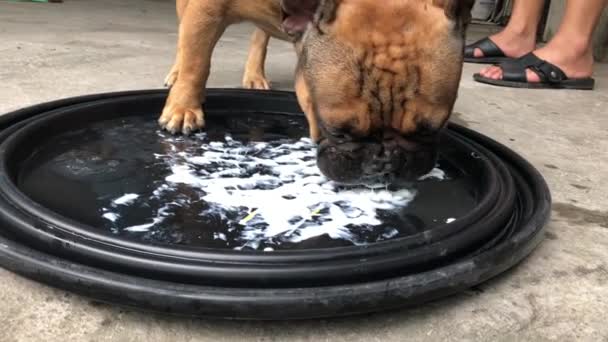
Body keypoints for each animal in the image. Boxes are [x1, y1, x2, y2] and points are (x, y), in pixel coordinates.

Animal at [159, 0, 472, 184]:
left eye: (431, 130)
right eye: (336, 130)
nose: (384, 160)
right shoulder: (206, 9)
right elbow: (197, 59)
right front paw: (184, 106)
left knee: (261, 34)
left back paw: (255, 73)